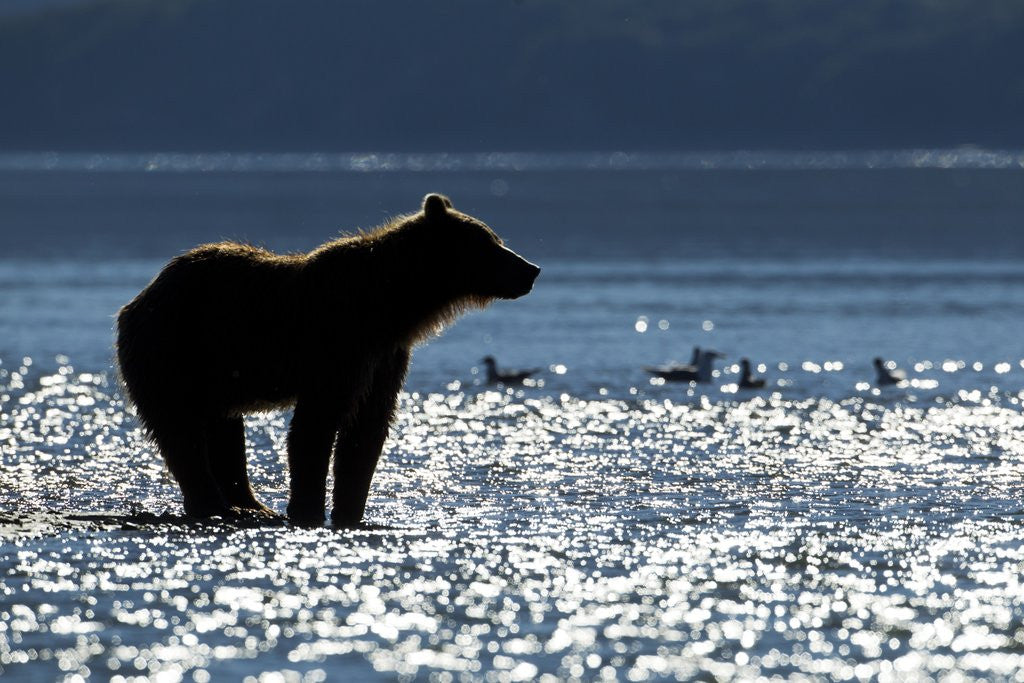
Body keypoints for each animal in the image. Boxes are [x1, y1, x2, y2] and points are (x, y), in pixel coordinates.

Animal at [115, 193, 540, 526]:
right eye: (490, 242)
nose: (531, 268)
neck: (394, 303)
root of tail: (141, 296)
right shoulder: (338, 343)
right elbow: (316, 424)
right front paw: (308, 508)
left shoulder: (385, 357)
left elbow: (367, 430)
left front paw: (351, 509)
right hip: (173, 349)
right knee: (180, 429)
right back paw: (216, 504)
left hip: (214, 371)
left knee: (222, 430)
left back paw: (250, 505)